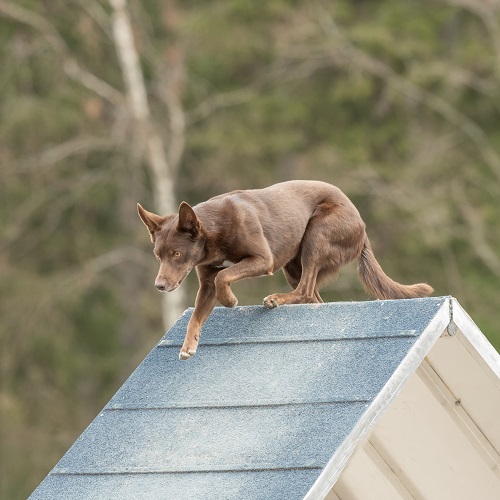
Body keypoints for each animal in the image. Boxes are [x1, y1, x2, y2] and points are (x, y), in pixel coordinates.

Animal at [138, 181, 434, 360]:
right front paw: (189, 345)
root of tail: (362, 227)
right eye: (158, 256)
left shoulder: (263, 259)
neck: (213, 228)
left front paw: (230, 300)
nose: (159, 286)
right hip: (294, 265)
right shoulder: (207, 283)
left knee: (306, 289)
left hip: (317, 234)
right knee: (312, 297)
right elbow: (196, 315)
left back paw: (276, 299)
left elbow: (225, 274)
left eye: (177, 254)